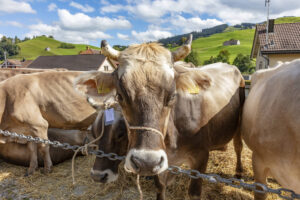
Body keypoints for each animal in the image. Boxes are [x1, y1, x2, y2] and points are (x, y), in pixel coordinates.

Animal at [75, 41, 246, 200]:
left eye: (172, 96)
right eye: (120, 96)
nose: (98, 175)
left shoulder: (201, 157)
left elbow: (194, 193)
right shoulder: (161, 164)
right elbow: (160, 187)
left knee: (238, 146)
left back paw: (238, 172)